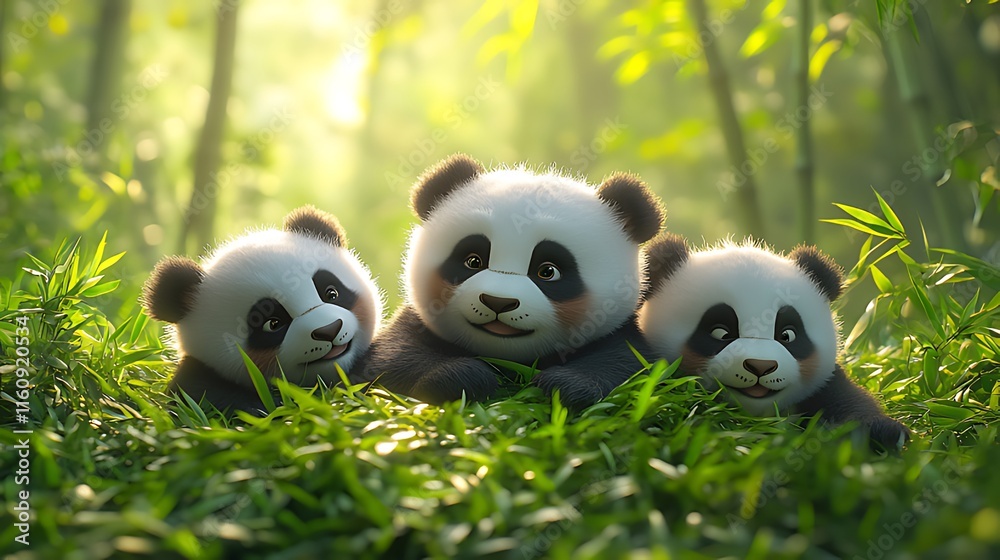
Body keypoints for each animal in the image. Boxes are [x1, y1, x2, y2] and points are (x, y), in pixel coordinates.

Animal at [357, 154, 665, 410]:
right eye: (473, 261)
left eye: (548, 271)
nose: (498, 302)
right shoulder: (415, 324)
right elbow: (391, 359)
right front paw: (464, 378)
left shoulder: (621, 333)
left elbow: (628, 365)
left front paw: (565, 386)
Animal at [638, 234, 910, 448]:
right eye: (721, 333)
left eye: (787, 334)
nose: (761, 366)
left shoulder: (826, 385)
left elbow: (852, 402)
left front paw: (883, 435)